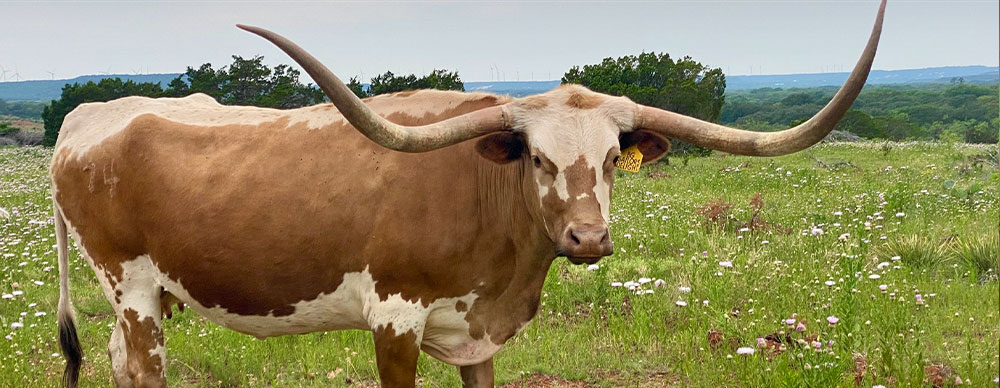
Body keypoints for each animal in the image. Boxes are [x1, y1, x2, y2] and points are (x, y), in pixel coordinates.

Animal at [52, 1, 884, 386]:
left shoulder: (476, 334)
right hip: (130, 288)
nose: (588, 238)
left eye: (612, 159)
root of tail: (87, 117)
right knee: (143, 369)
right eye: (538, 159)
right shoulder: (393, 319)